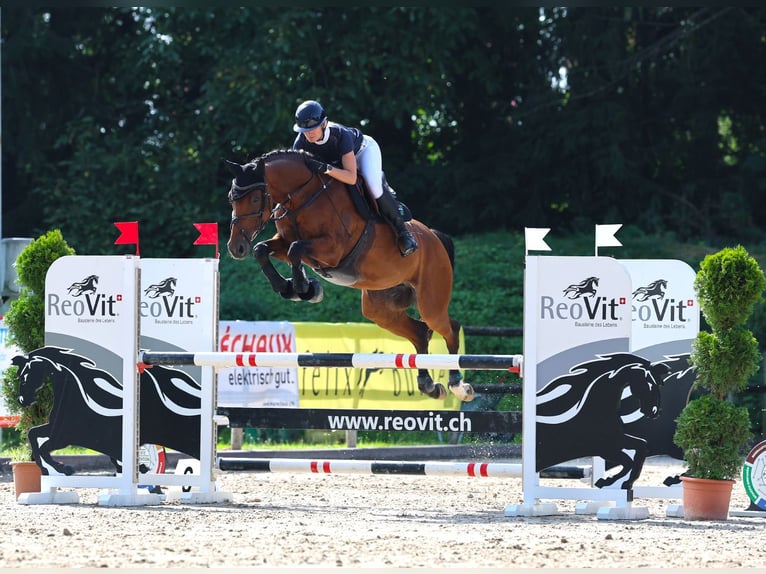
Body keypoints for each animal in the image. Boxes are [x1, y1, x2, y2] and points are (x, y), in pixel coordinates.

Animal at [13, 346, 202, 475]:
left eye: (25, 376)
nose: (22, 400)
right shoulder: (54, 429)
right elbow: (32, 434)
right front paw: (52, 469)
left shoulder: (63, 437)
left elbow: (43, 446)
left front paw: (63, 468)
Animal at [225, 149, 473, 402]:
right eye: (231, 199)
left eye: (255, 199)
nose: (236, 248)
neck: (302, 198)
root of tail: (434, 237)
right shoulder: (284, 244)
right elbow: (263, 250)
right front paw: (290, 288)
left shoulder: (333, 250)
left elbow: (296, 248)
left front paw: (304, 289)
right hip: (381, 308)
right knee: (421, 333)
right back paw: (429, 385)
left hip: (430, 301)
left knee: (449, 328)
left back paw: (458, 385)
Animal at [534, 352, 669, 490]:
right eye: (648, 384)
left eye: (657, 384)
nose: (654, 411)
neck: (599, 413)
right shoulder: (606, 449)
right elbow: (628, 462)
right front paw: (608, 481)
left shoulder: (618, 441)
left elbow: (642, 446)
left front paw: (626, 483)